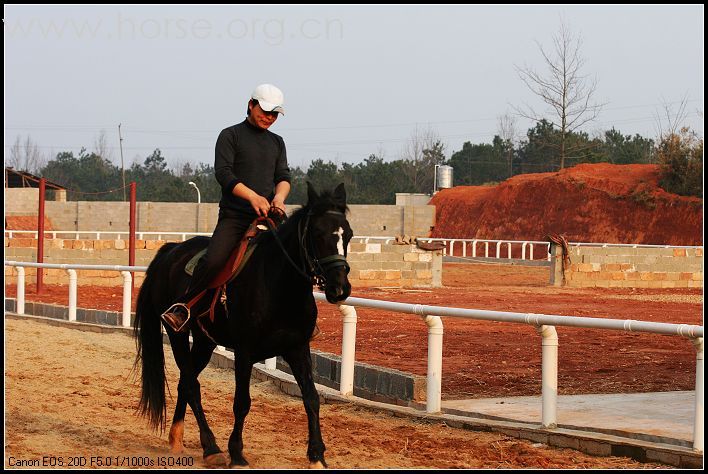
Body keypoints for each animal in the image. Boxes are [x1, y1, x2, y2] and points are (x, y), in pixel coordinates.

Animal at [131, 181, 352, 466]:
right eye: (317, 233)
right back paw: (212, 448)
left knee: (184, 383)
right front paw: (236, 453)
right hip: (177, 334)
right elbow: (242, 402)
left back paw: (178, 439)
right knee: (191, 384)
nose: (340, 289)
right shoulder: (244, 352)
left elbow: (311, 398)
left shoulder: (297, 348)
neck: (280, 287)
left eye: (348, 234)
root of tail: (171, 251)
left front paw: (316, 456)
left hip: (204, 342)